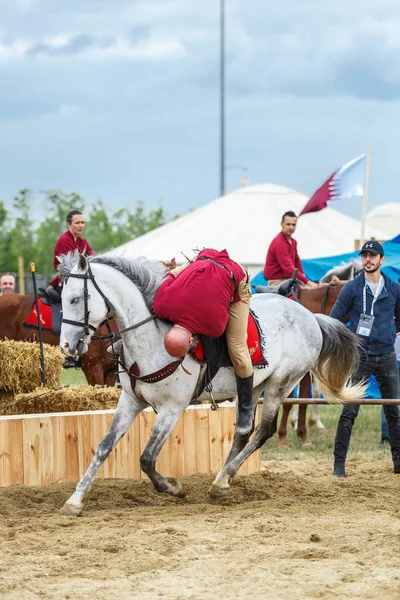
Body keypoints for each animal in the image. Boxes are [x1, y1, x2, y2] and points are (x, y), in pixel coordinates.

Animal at [57, 253, 366, 516]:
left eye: (76, 298)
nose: (67, 347)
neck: (151, 339)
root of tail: (310, 316)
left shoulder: (172, 408)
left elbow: (146, 458)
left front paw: (172, 487)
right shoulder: (131, 401)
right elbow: (103, 447)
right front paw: (75, 500)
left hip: (281, 384)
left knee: (262, 432)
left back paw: (222, 481)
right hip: (253, 387)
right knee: (243, 431)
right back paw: (221, 479)